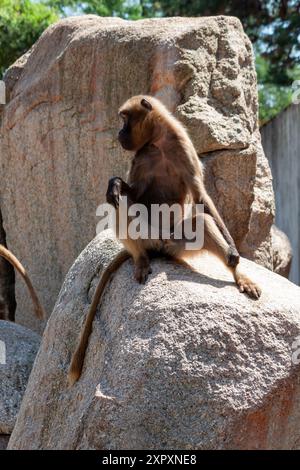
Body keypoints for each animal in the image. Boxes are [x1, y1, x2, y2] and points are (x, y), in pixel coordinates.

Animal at [69, 95, 262, 386]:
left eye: (125, 119)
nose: (119, 133)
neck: (158, 142)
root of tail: (158, 245)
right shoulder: (141, 155)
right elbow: (132, 194)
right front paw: (114, 183)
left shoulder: (181, 147)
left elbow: (201, 197)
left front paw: (233, 251)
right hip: (147, 236)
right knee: (119, 204)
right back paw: (140, 259)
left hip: (177, 242)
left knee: (201, 223)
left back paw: (237, 276)